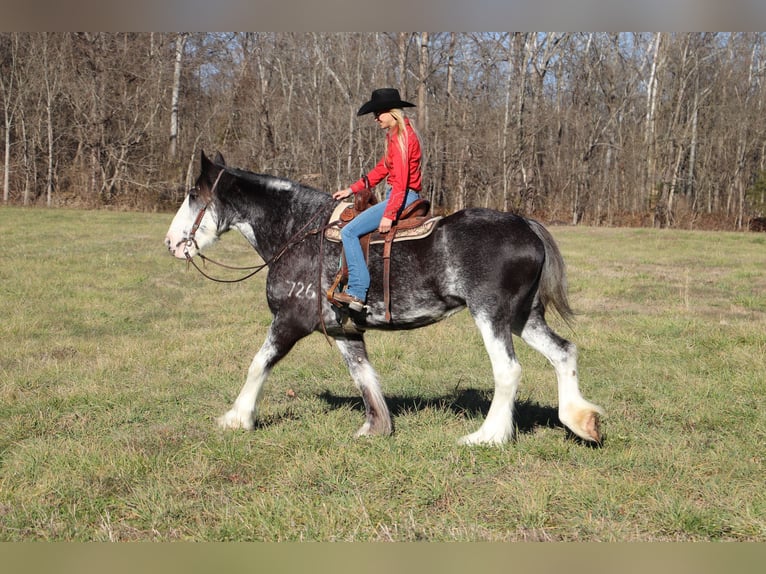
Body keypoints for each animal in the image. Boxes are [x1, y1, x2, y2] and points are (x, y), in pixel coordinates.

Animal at [165, 152, 604, 446]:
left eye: (192, 194)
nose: (171, 243)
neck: (298, 232)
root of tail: (526, 225)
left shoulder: (289, 320)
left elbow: (258, 364)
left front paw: (237, 418)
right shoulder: (344, 331)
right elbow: (365, 377)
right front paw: (376, 427)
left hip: (491, 315)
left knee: (508, 370)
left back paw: (488, 436)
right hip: (523, 316)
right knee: (564, 352)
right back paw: (582, 421)